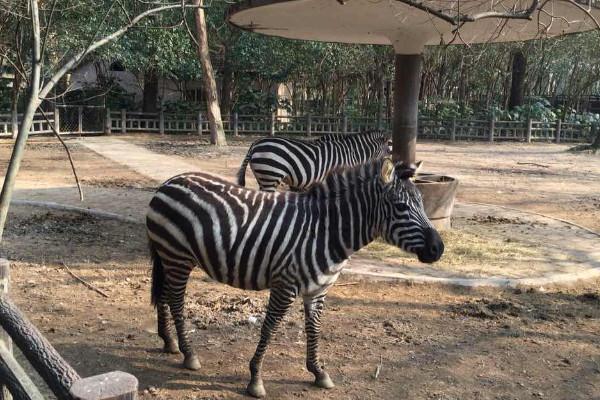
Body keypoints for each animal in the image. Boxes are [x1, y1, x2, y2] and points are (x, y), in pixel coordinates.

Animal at [147, 158, 442, 398]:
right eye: (401, 206)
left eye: (422, 203)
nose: (438, 249)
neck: (326, 231)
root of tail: (169, 183)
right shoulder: (285, 285)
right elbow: (269, 328)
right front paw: (255, 379)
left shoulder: (318, 290)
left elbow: (314, 329)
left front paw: (318, 372)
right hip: (177, 256)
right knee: (176, 301)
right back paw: (189, 353)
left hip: (168, 257)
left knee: (164, 295)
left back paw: (169, 342)